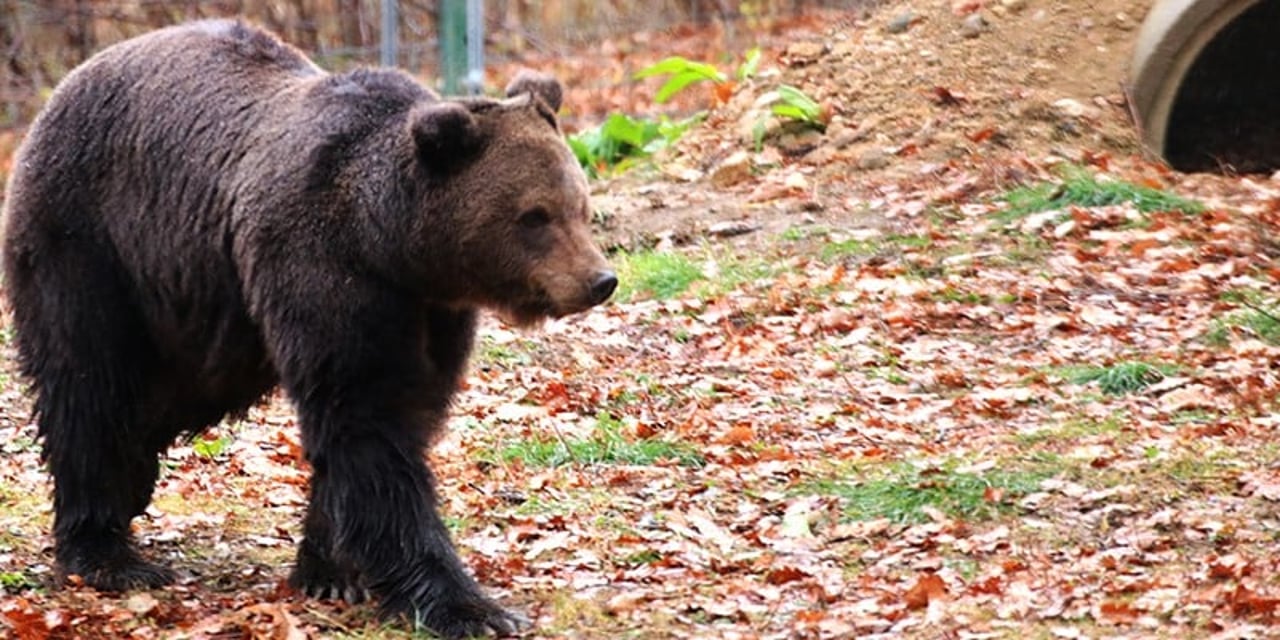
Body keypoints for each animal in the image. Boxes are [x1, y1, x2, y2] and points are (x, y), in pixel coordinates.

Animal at [0, 17, 616, 637]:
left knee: (160, 398)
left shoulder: (429, 313)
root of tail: (62, 90)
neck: (391, 244)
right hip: (92, 244)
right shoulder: (323, 266)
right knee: (89, 385)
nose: (599, 280)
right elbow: (369, 421)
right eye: (534, 216)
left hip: (199, 308)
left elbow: (401, 413)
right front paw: (468, 606)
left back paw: (132, 482)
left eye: (580, 206)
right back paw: (105, 553)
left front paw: (331, 572)